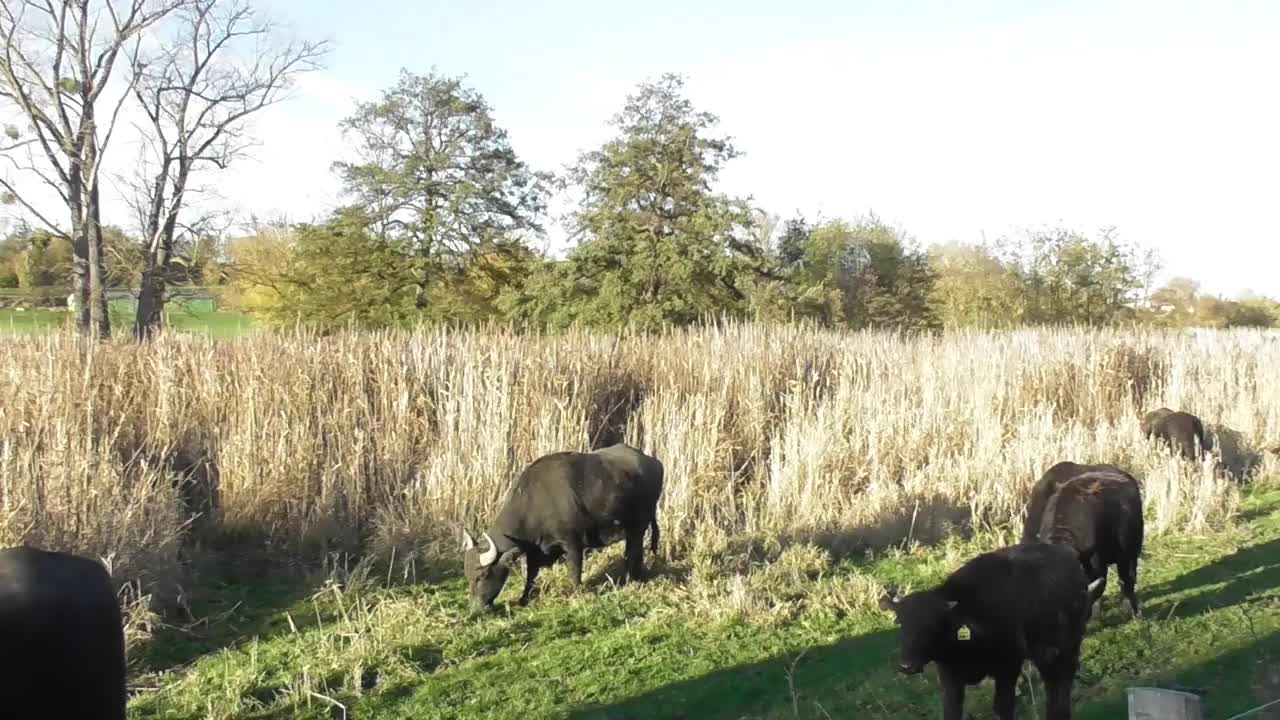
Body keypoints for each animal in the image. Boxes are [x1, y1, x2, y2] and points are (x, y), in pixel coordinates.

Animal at [460, 443, 660, 609]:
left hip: (638, 526)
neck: (534, 502)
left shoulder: (573, 543)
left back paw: (632, 580)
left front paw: (575, 594)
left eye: (483, 575)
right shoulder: (535, 550)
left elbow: (574, 570)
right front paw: (524, 598)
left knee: (633, 552)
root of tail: (652, 461)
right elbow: (531, 574)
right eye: (468, 575)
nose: (476, 609)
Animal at [880, 540, 1100, 717]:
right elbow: (951, 710)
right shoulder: (950, 674)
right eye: (901, 622)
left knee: (1060, 688)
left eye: (932, 624)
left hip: (1065, 650)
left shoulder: (1008, 666)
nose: (907, 665)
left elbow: (1003, 707)